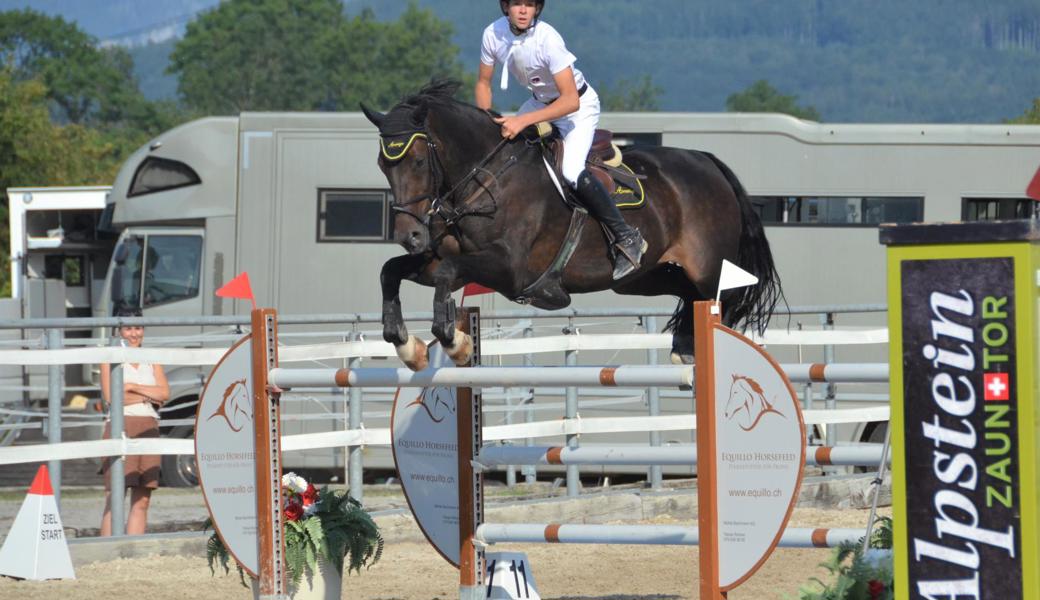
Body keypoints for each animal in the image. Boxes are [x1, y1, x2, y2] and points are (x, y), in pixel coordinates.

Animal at [364, 80, 782, 370]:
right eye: (383, 164)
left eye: (419, 161)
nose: (409, 236)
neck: (486, 177)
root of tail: (708, 161)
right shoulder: (452, 261)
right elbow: (392, 271)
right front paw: (407, 347)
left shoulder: (509, 269)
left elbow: (447, 273)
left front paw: (456, 344)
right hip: (643, 278)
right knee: (686, 293)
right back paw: (683, 347)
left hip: (709, 268)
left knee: (716, 301)